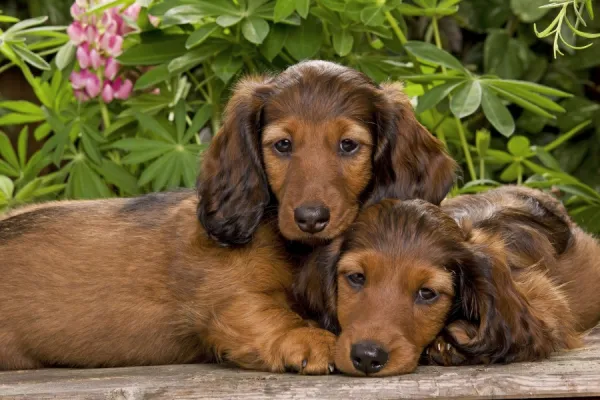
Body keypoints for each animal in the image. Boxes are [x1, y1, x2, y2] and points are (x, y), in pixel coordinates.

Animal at [0, 60, 452, 372]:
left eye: (348, 145)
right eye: (282, 145)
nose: (310, 217)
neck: (296, 251)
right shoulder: (224, 301)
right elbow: (267, 311)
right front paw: (309, 338)